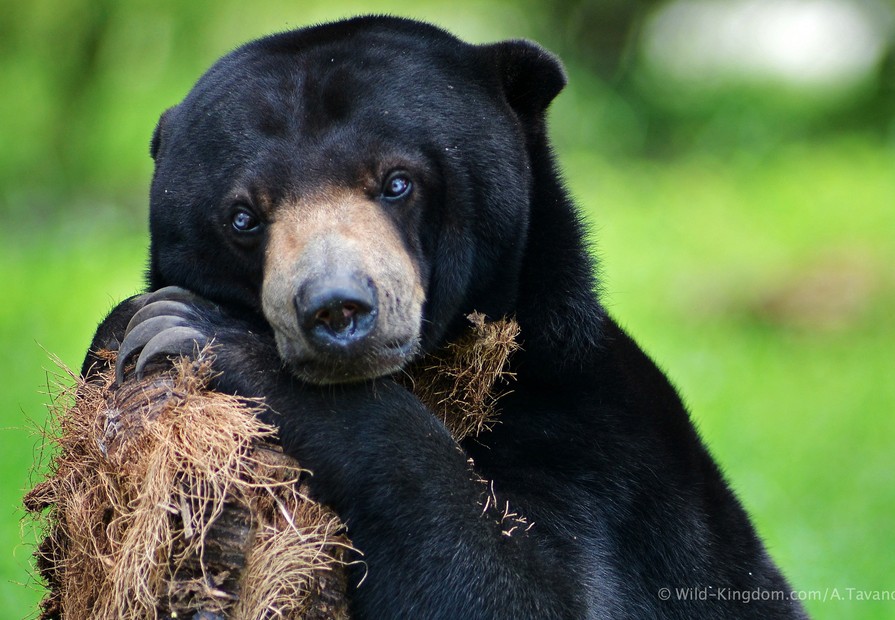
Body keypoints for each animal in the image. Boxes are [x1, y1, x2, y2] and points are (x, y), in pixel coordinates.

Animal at [86, 14, 812, 620]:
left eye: (397, 182)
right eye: (243, 217)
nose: (336, 310)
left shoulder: (597, 453)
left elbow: (522, 592)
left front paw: (191, 328)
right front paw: (126, 327)